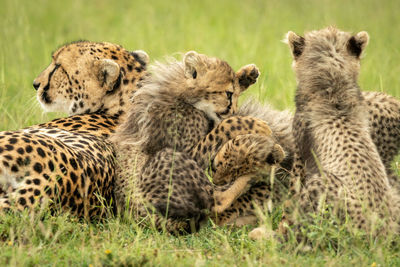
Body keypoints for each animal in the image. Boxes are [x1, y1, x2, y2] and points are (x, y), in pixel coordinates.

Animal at [109, 51, 286, 233]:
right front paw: (256, 124)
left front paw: (246, 75)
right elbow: (223, 127)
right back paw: (259, 170)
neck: (182, 96)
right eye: (228, 94)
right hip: (168, 159)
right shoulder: (191, 152)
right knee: (216, 201)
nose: (234, 110)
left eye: (235, 94)